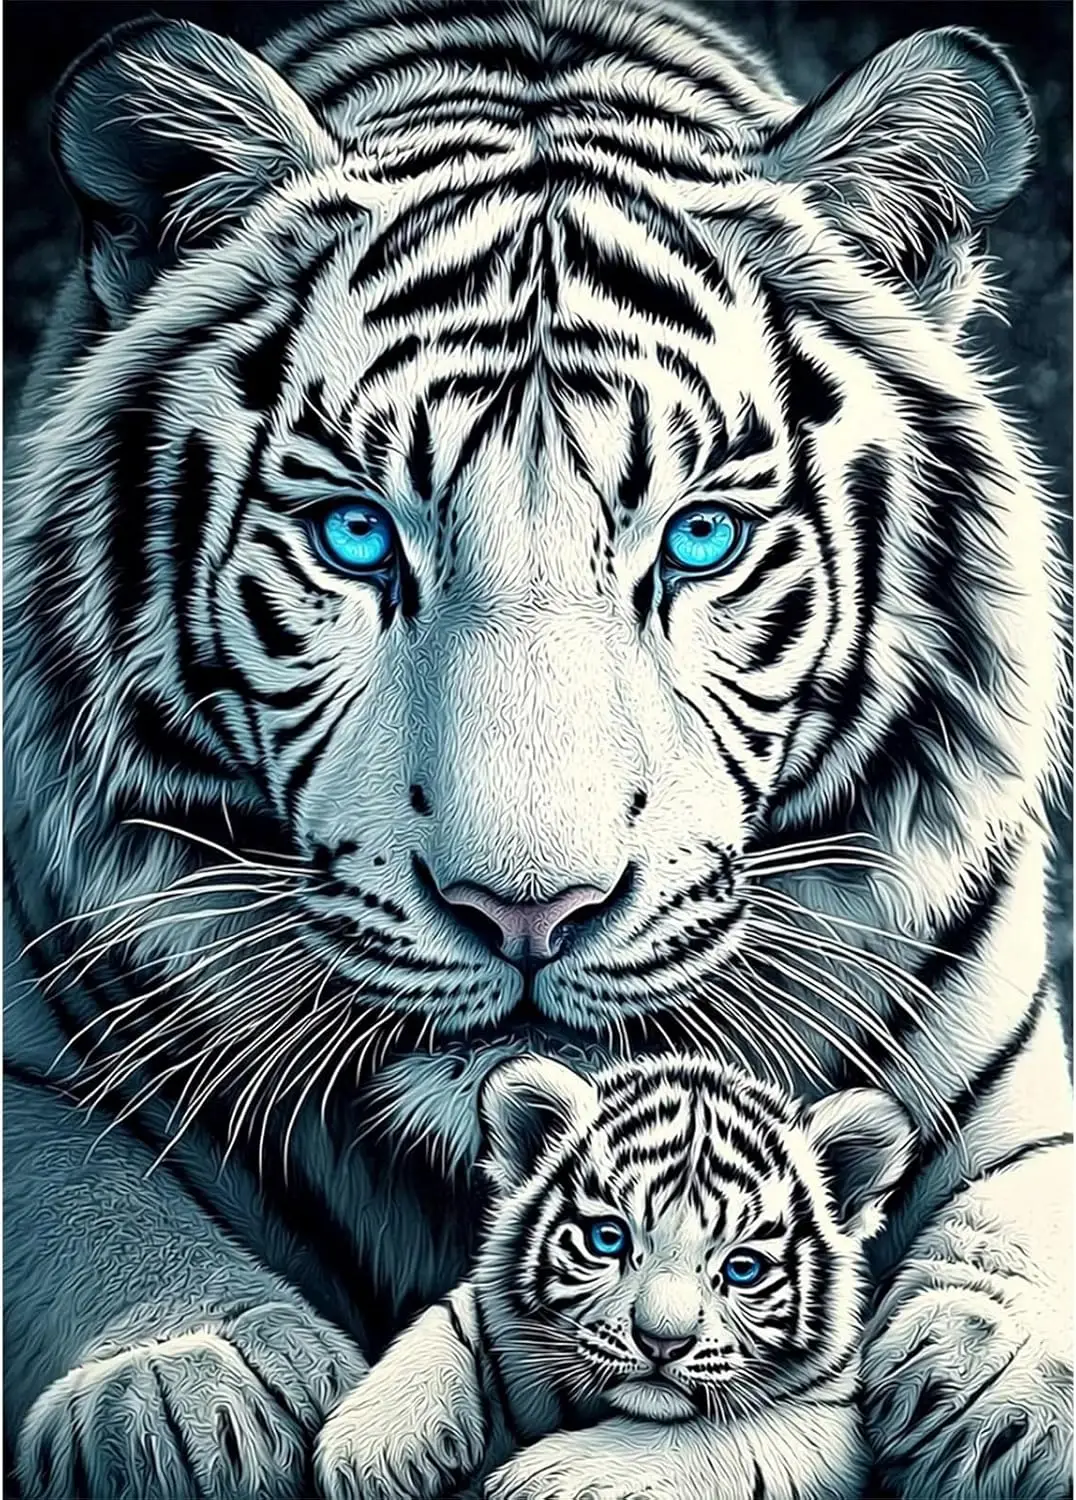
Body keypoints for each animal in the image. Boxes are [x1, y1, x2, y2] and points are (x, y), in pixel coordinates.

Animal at [316, 1053, 915, 1500]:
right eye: (609, 1239)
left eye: (742, 1268)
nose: (662, 1342)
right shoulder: (491, 1315)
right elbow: (447, 1323)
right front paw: (371, 1446)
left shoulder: (828, 1418)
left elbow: (721, 1431)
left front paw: (551, 1475)